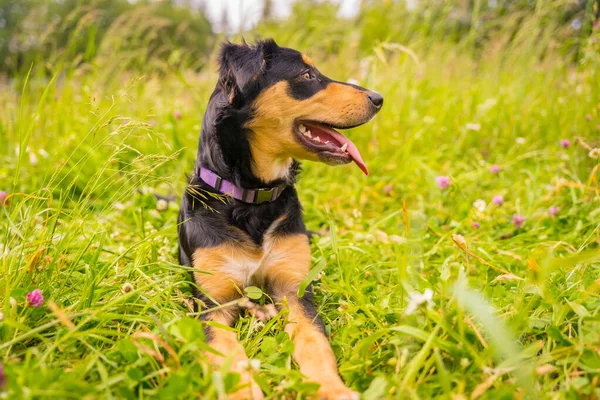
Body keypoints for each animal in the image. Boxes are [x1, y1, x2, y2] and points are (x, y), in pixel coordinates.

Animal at [179, 38, 384, 400]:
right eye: (306, 74)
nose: (378, 98)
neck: (251, 199)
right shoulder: (212, 305)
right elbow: (230, 355)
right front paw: (245, 392)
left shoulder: (292, 290)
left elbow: (316, 344)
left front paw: (332, 388)